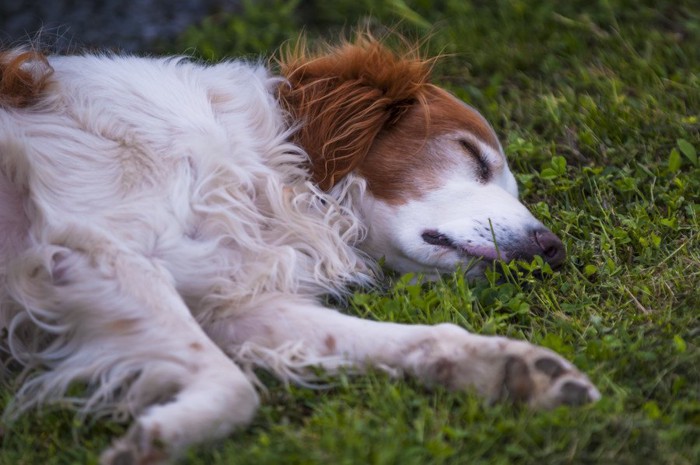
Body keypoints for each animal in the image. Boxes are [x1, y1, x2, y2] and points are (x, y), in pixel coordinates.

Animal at [1, 37, 596, 464]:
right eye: (472, 154)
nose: (553, 249)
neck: (262, 175)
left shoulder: (234, 304)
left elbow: (412, 337)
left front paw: (509, 366)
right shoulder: (92, 248)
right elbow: (236, 387)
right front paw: (156, 441)